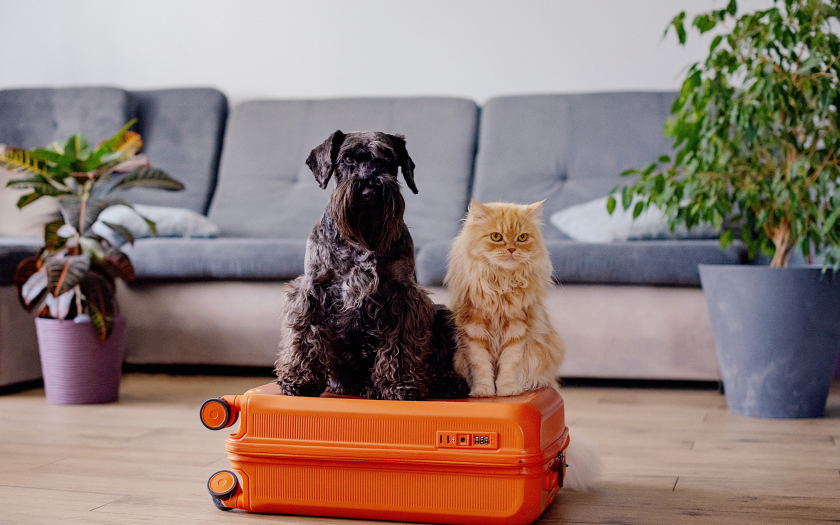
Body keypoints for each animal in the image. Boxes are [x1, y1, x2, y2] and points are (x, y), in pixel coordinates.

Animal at [278, 129, 470, 400]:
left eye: (387, 159)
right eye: (348, 159)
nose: (369, 190)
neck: (363, 238)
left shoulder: (401, 293)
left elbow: (400, 343)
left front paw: (400, 384)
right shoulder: (314, 289)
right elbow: (306, 335)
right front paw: (300, 379)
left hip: (443, 315)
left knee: (439, 363)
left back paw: (445, 382)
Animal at [446, 201, 564, 398]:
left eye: (522, 237)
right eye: (496, 236)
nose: (511, 249)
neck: (501, 283)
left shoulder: (517, 330)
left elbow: (510, 364)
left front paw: (507, 390)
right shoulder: (474, 330)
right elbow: (481, 365)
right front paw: (483, 391)